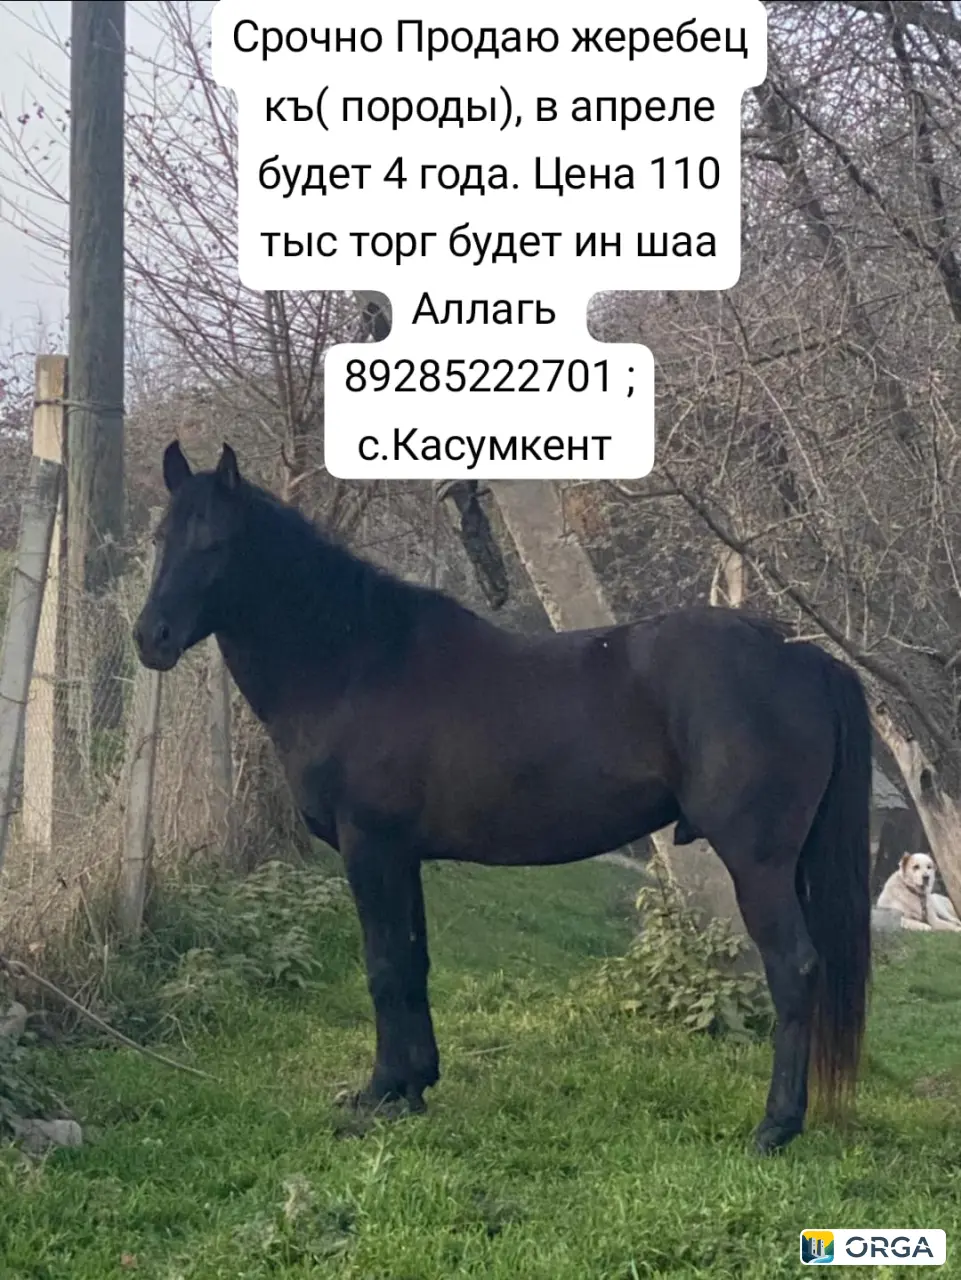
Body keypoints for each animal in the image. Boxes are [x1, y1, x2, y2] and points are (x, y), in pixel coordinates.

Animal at [134, 441, 872, 1155]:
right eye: (162, 536)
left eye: (215, 542)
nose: (150, 638)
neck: (354, 663)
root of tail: (801, 656)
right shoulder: (402, 856)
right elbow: (412, 962)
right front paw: (413, 1085)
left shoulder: (370, 848)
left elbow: (383, 966)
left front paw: (378, 1093)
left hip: (757, 862)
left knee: (794, 968)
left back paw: (775, 1127)